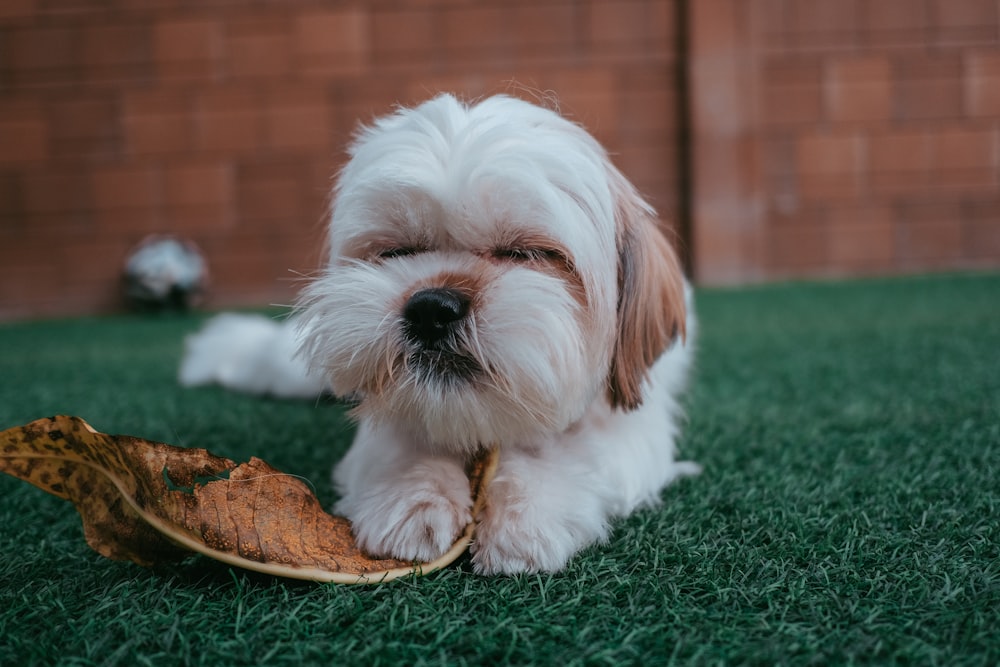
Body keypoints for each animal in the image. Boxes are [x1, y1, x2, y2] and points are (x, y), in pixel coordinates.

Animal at [178, 94, 696, 576]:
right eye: (397, 251)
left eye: (525, 253)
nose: (431, 307)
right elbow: (403, 438)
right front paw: (414, 495)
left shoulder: (631, 429)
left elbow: (574, 451)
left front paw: (527, 511)